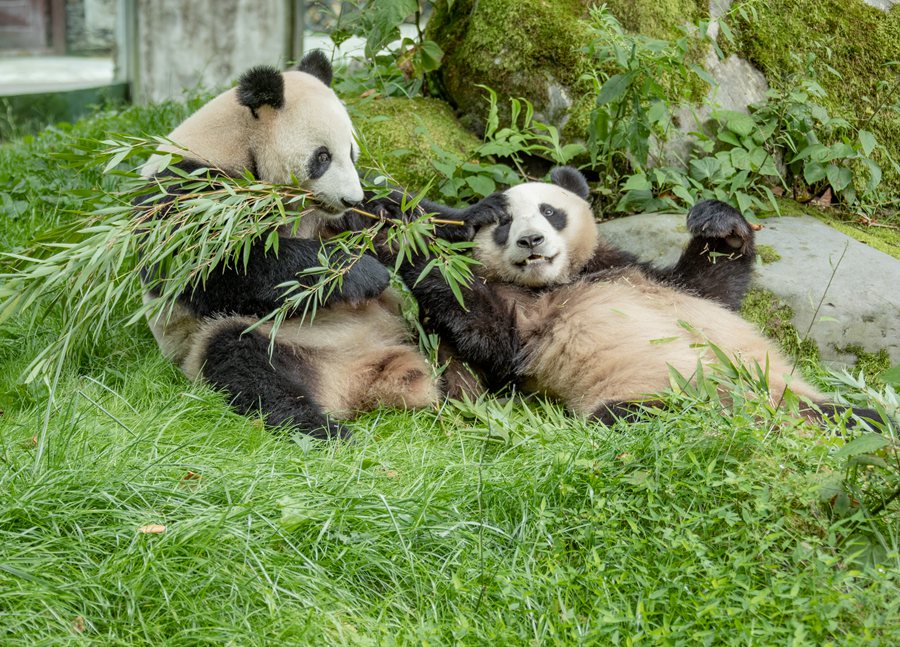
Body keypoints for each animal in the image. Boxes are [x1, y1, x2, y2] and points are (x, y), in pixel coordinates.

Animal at [136, 52, 440, 440]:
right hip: (258, 339)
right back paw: (322, 429)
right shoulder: (186, 189)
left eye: (352, 154)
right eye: (322, 157)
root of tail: (361, 380)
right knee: (244, 361)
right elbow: (213, 269)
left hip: (403, 325)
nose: (351, 199)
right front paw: (361, 272)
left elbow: (392, 211)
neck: (238, 142)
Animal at [384, 167, 884, 428]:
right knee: (662, 417)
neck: (559, 280)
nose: (530, 241)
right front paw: (397, 229)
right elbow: (483, 326)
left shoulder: (634, 271)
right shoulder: (527, 327)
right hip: (650, 396)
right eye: (503, 224)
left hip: (794, 395)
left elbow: (712, 287)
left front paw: (718, 223)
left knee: (859, 417)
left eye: (549, 211)